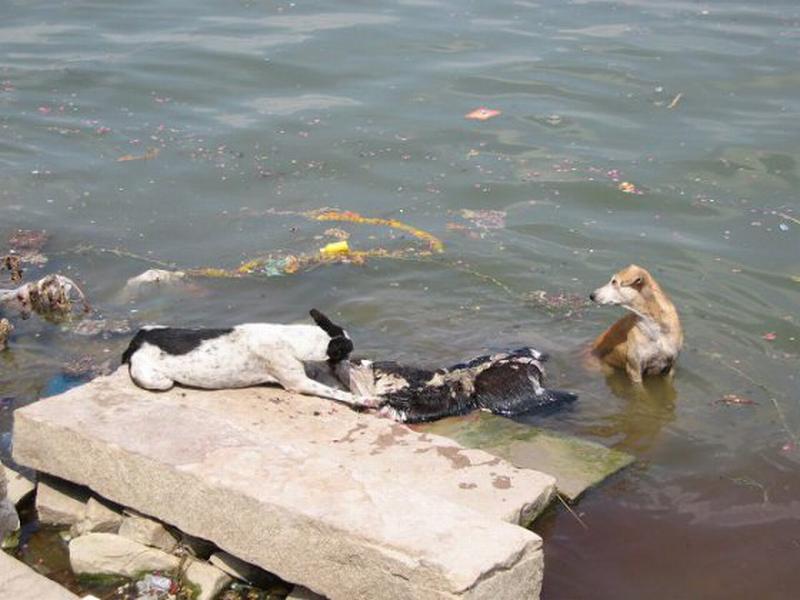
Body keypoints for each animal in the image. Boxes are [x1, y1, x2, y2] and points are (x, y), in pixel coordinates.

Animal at [123, 310, 374, 408]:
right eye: (348, 352)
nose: (354, 362)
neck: (291, 339)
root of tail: (138, 339)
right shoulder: (299, 383)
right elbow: (336, 392)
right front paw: (364, 400)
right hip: (156, 380)